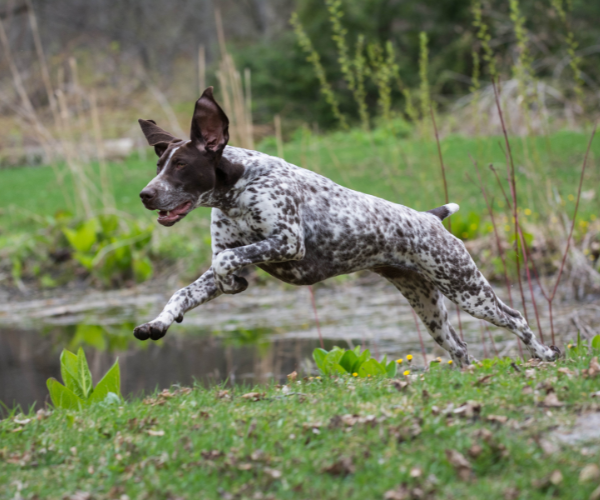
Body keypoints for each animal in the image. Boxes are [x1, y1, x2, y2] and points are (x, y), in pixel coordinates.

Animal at [134, 87, 560, 368]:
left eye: (181, 166)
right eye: (158, 166)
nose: (145, 194)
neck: (237, 188)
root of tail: (429, 217)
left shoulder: (287, 242)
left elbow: (226, 265)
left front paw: (232, 284)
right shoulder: (225, 256)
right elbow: (183, 292)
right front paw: (159, 323)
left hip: (467, 290)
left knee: (516, 319)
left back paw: (544, 354)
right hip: (428, 305)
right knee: (459, 348)